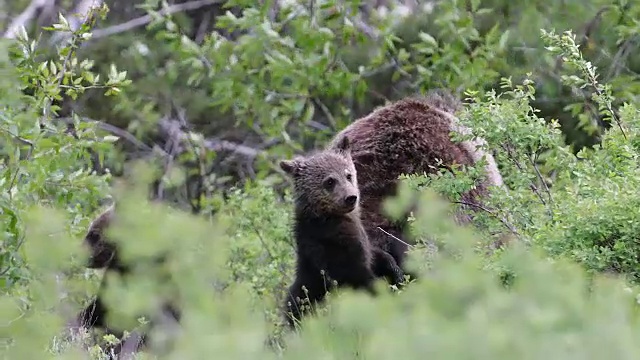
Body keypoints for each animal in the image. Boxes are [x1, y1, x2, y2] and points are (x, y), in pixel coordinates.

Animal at [278, 136, 402, 328]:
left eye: (348, 174)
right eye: (329, 181)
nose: (351, 197)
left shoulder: (361, 239)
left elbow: (376, 255)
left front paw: (394, 269)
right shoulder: (329, 247)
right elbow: (355, 276)